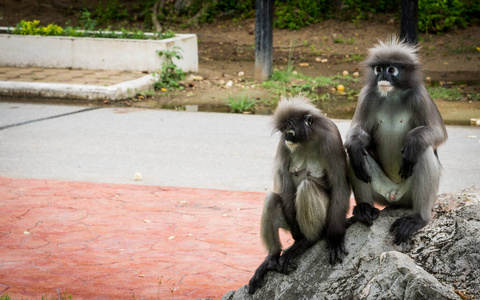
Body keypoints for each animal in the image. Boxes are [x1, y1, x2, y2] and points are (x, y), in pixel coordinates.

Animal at [249, 96, 350, 296]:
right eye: (283, 131)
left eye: (290, 130)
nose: (287, 137)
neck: (307, 140)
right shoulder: (283, 145)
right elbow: (284, 181)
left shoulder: (331, 139)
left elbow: (339, 185)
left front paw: (335, 237)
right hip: (288, 220)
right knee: (272, 199)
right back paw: (273, 257)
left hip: (326, 216)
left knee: (307, 186)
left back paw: (307, 241)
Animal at [344, 36, 446, 245]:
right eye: (378, 69)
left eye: (391, 70)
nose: (382, 77)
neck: (392, 94)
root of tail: (394, 196)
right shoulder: (366, 95)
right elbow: (359, 136)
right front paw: (357, 144)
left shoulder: (420, 95)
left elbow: (439, 133)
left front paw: (413, 140)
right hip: (381, 193)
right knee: (355, 157)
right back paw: (365, 209)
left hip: (409, 196)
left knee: (422, 151)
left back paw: (418, 218)